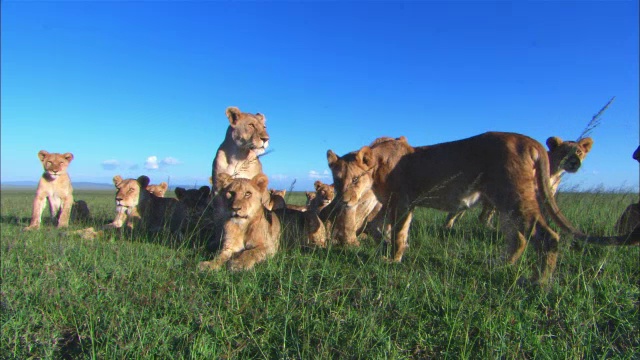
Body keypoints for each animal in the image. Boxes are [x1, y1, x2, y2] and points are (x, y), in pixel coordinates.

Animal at [444, 135, 596, 228]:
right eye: (564, 152)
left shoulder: (547, 196)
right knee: (478, 216)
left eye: (579, 152)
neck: (554, 170)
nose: (574, 163)